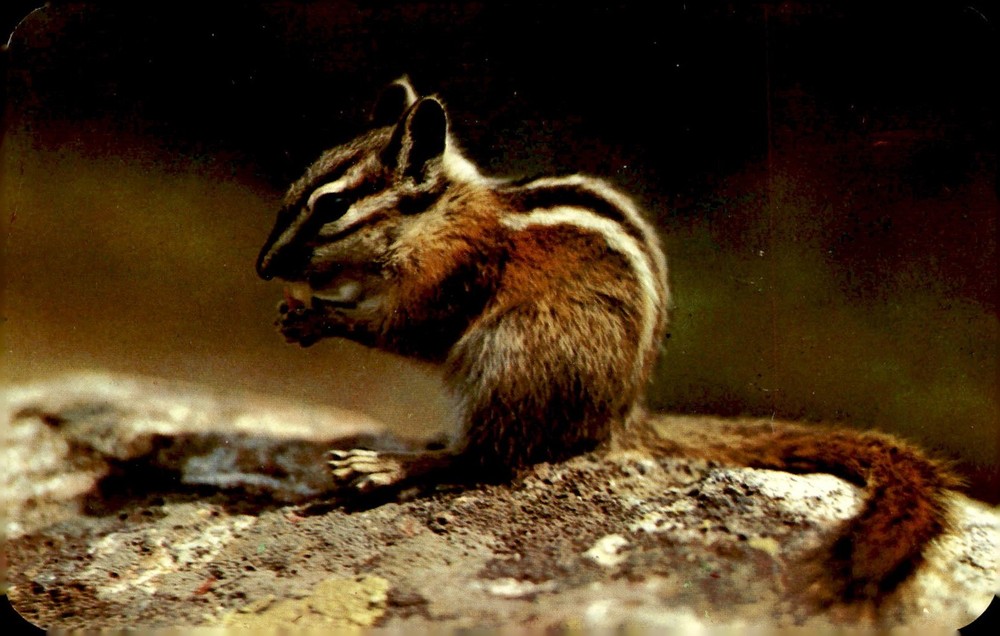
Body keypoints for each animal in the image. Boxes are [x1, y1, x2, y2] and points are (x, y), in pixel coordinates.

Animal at [256, 77, 959, 602]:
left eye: (330, 207)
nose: (263, 268)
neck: (440, 216)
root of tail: (619, 415)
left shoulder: (453, 277)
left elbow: (406, 328)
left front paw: (318, 317)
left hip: (514, 352)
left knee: (489, 457)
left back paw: (385, 467)